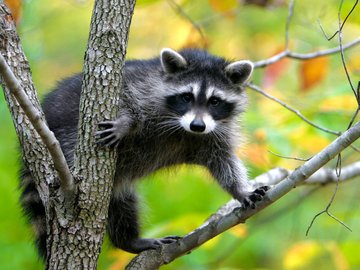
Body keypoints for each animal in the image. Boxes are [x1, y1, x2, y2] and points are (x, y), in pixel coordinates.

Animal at [19, 48, 268, 258]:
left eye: (215, 101)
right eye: (187, 97)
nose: (197, 125)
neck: (183, 128)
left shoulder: (214, 134)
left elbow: (224, 162)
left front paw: (240, 190)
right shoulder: (143, 86)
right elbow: (126, 97)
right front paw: (125, 122)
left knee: (122, 204)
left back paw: (128, 240)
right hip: (67, 136)